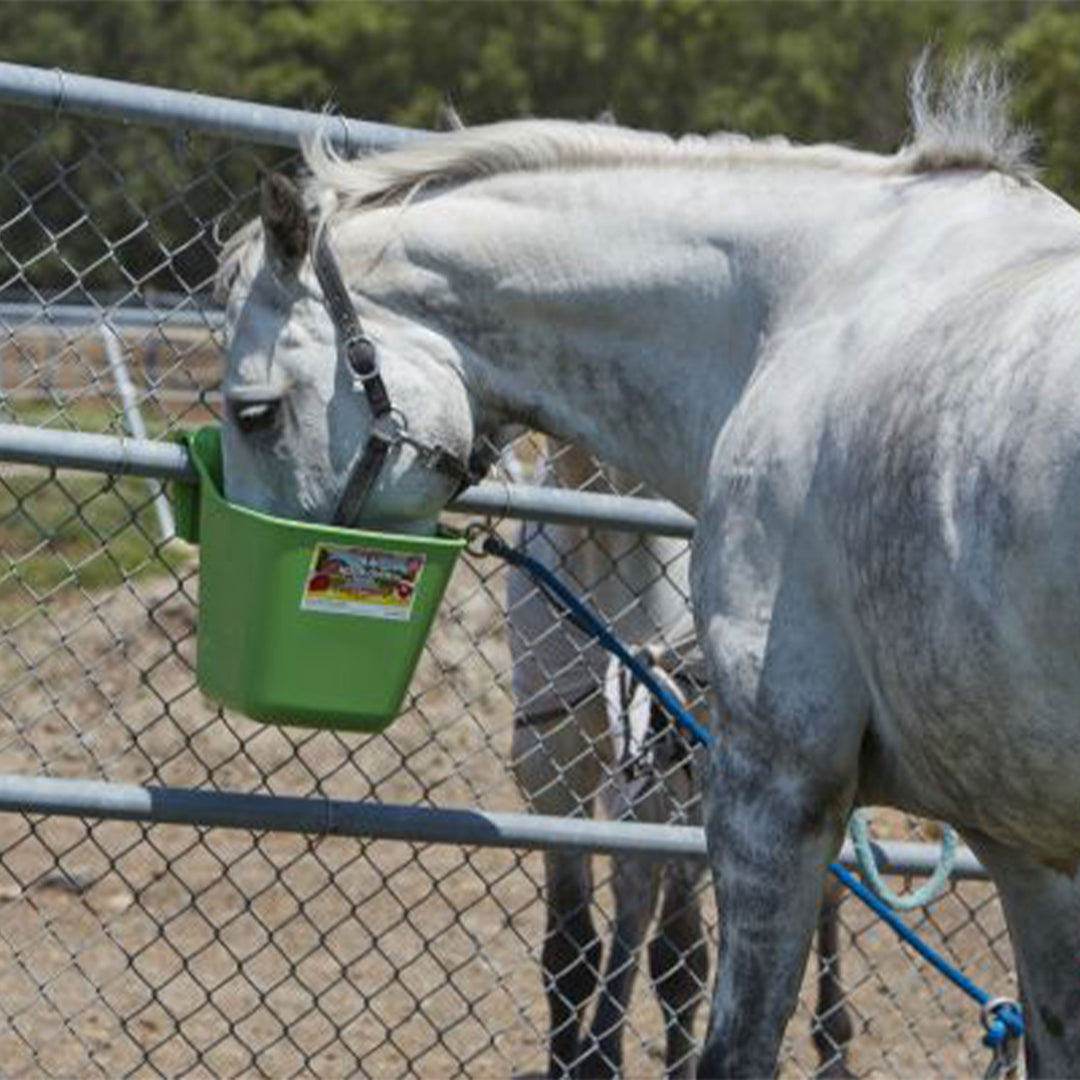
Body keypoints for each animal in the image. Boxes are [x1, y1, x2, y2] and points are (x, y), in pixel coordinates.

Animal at [505, 438, 851, 1080]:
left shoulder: (696, 769)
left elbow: (680, 959)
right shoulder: (551, 761)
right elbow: (570, 950)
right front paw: (580, 1058)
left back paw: (834, 1046)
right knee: (634, 893)